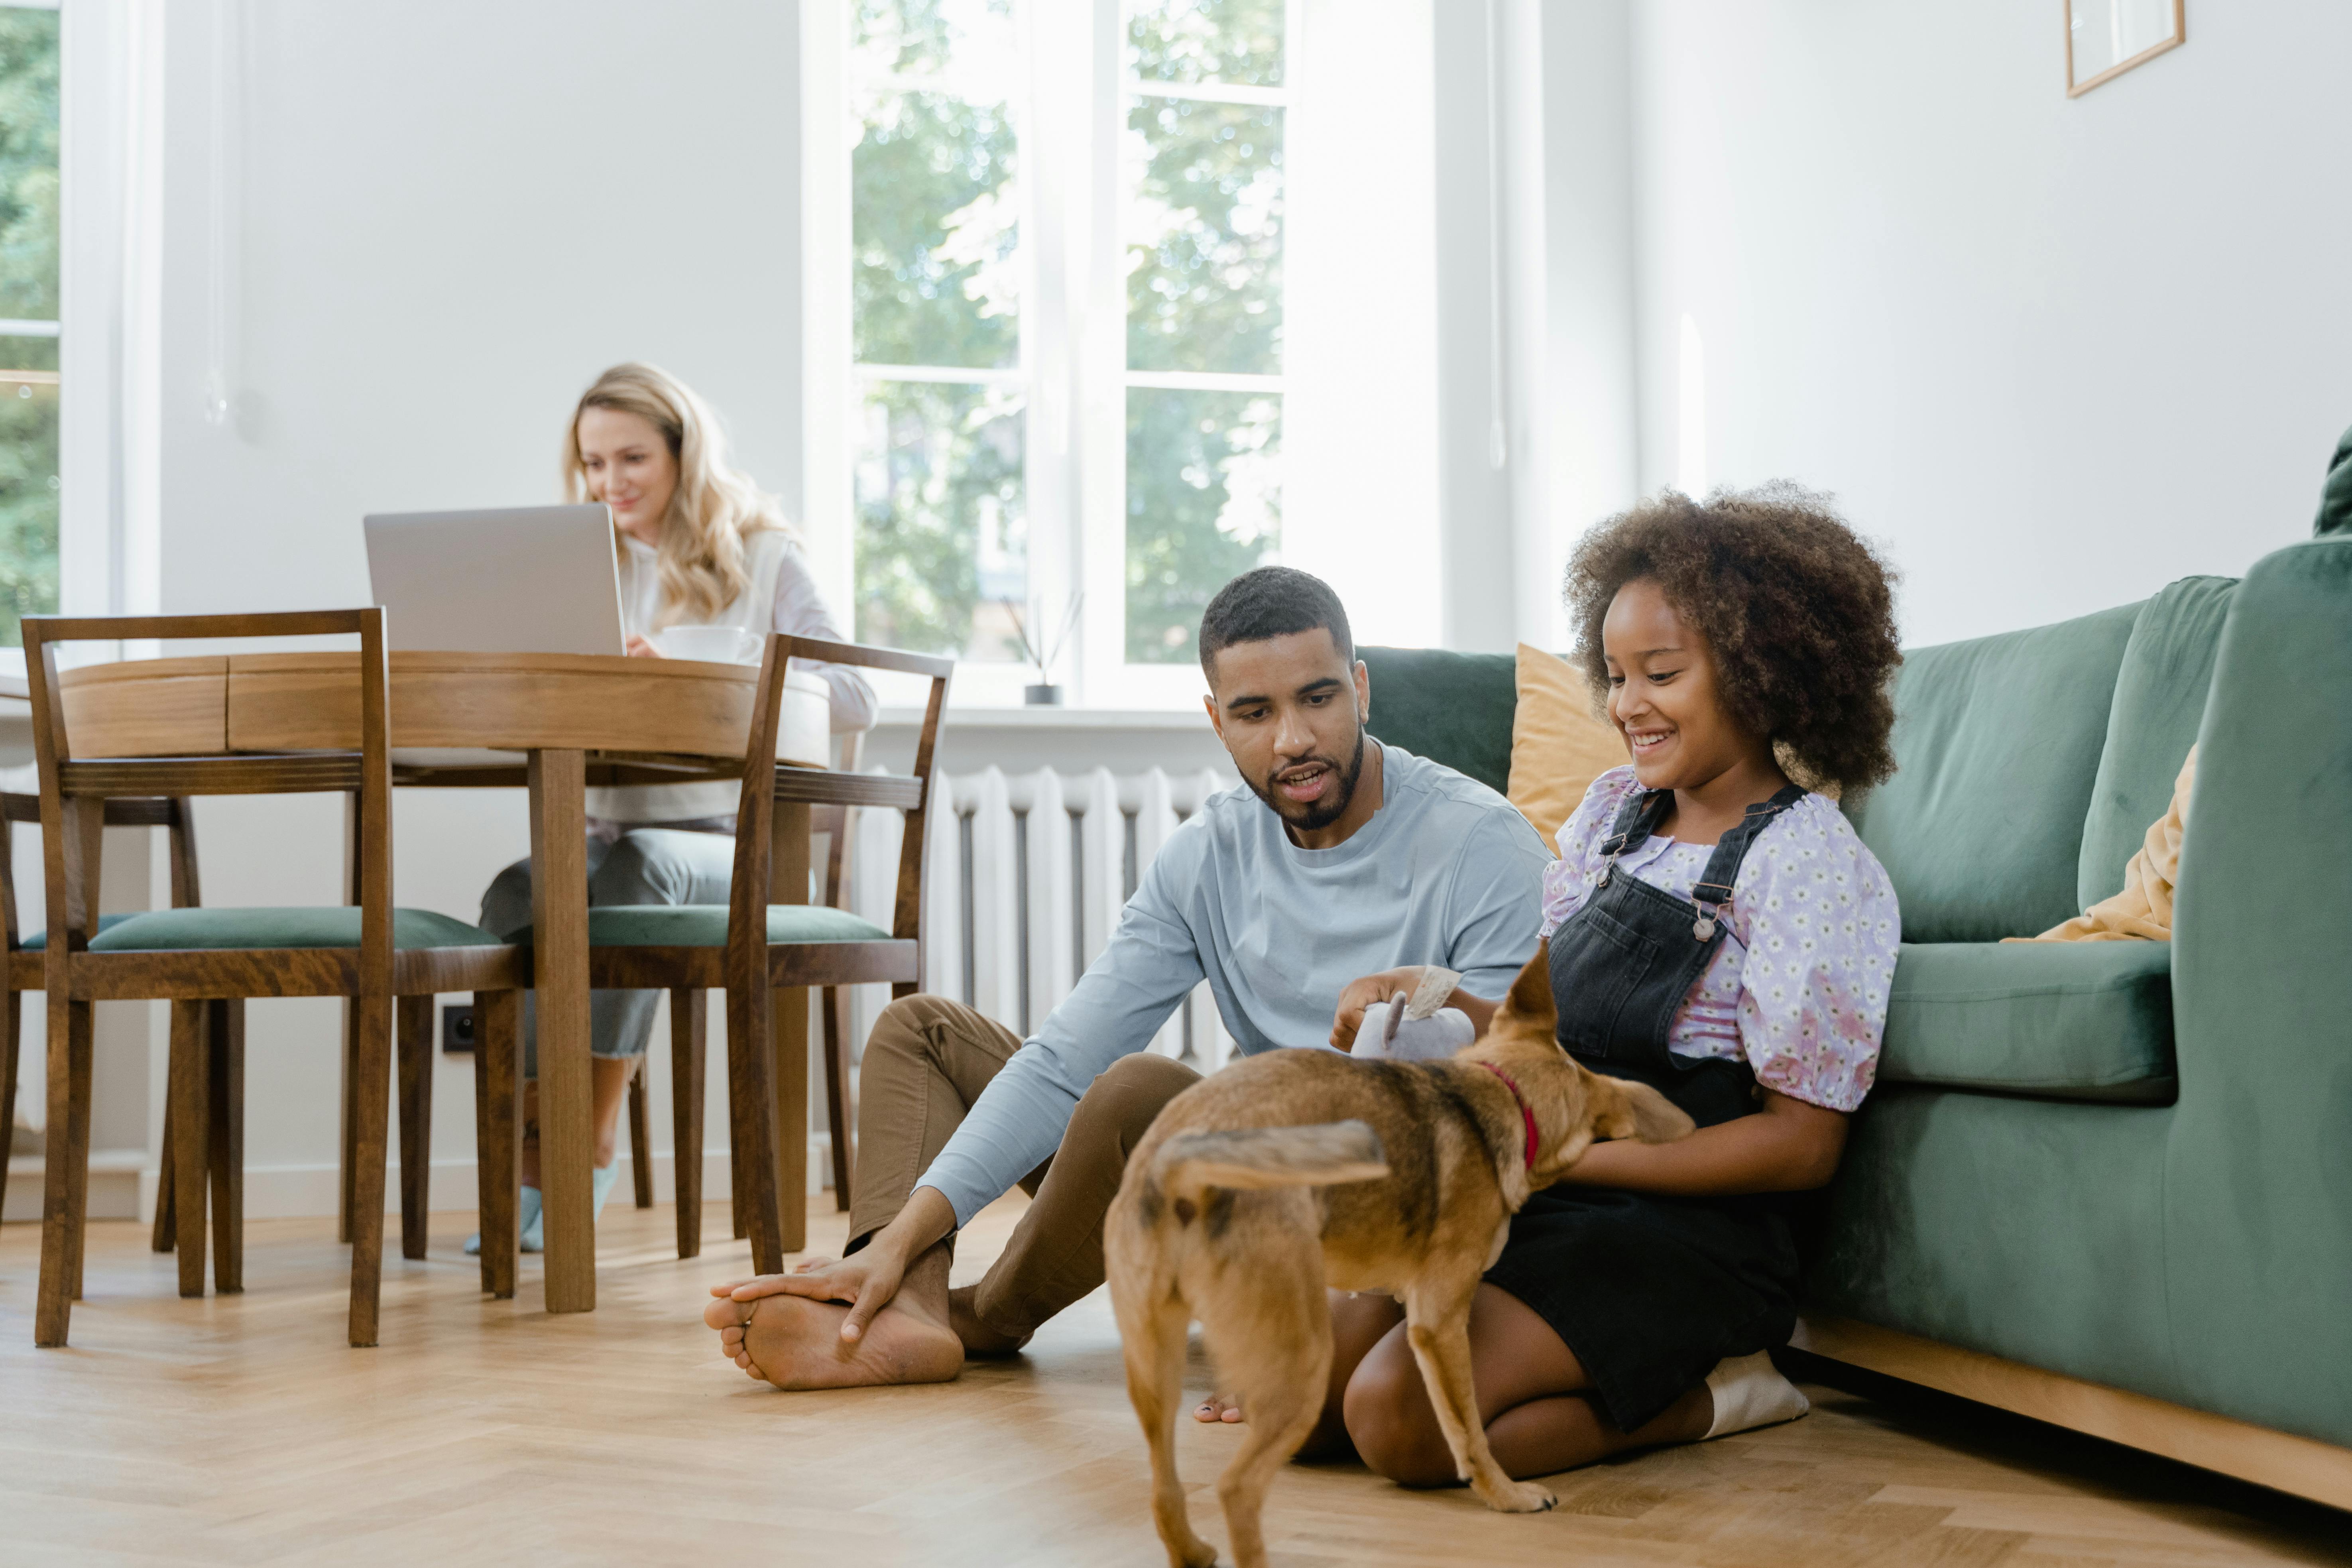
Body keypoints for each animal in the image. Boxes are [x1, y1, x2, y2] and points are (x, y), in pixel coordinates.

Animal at [1101, 945, 1693, 1568]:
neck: (1500, 1094)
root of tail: (1180, 1165)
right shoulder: (1440, 1323)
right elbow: (1468, 1430)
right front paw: (1506, 1496)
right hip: (1300, 1363)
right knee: (1236, 1489)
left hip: (1156, 1365)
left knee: (1164, 1489)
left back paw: (1191, 1548)